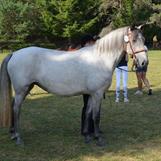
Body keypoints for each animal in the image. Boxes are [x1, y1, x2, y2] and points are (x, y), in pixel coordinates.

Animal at [0, 25, 148, 145]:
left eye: (144, 39)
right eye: (134, 40)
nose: (143, 62)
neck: (100, 58)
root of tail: (14, 54)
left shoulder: (90, 94)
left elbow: (88, 113)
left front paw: (87, 136)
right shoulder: (97, 94)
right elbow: (96, 116)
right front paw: (99, 139)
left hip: (26, 89)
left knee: (13, 106)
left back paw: (13, 134)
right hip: (21, 90)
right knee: (16, 109)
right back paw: (18, 138)